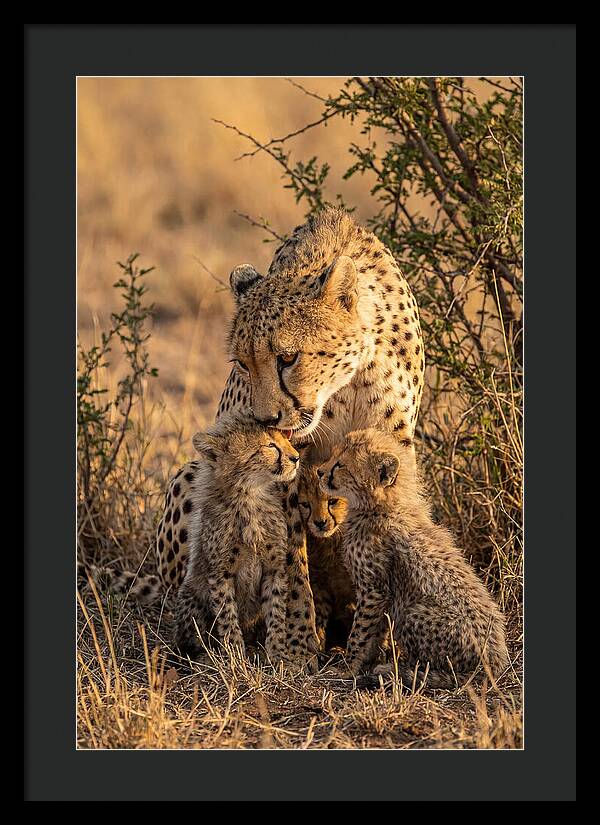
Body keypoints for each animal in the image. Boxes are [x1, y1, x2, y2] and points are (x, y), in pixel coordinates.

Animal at [174, 415, 299, 665]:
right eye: (270, 445)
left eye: (285, 439)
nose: (296, 457)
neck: (249, 496)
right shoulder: (220, 573)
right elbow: (227, 616)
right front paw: (235, 657)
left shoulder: (274, 568)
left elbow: (276, 612)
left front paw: (278, 654)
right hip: (191, 595)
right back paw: (205, 656)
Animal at [317, 428, 509, 688]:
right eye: (333, 456)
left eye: (340, 465)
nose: (319, 471)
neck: (381, 505)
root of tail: (496, 663)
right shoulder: (381, 594)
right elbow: (374, 632)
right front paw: (364, 662)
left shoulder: (374, 590)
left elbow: (360, 632)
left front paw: (348, 667)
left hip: (412, 612)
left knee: (437, 669)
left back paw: (398, 671)